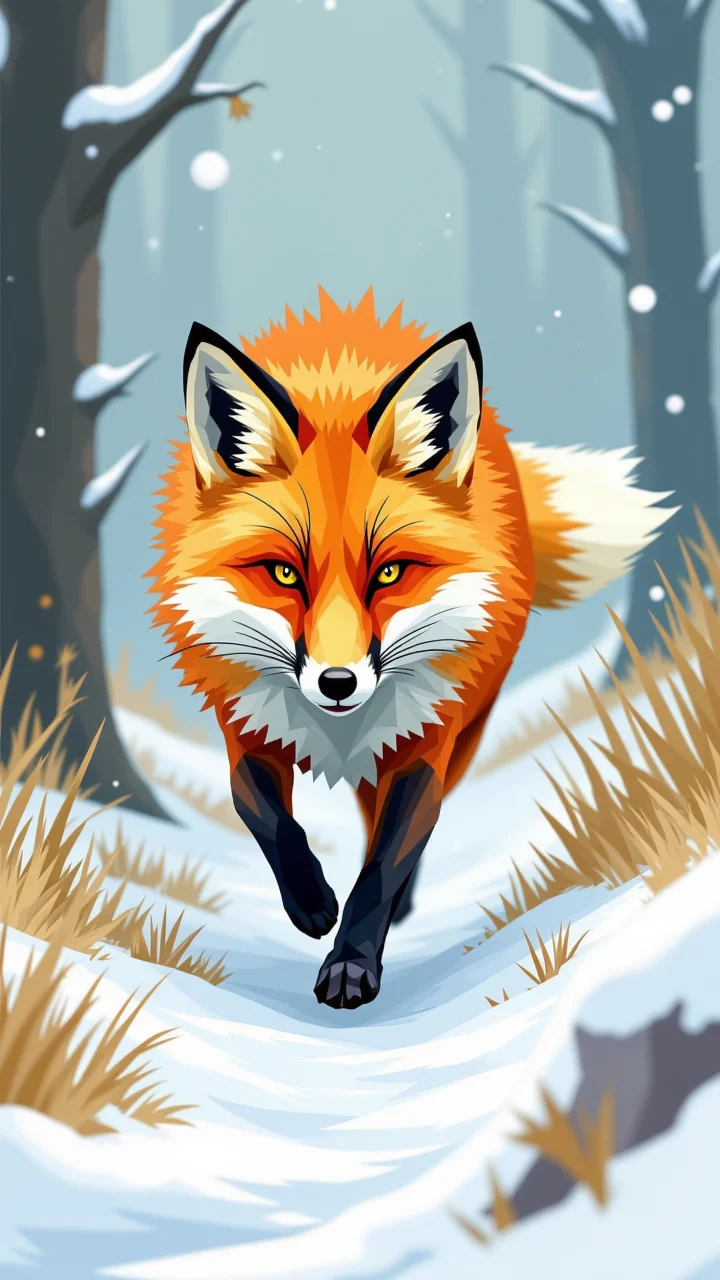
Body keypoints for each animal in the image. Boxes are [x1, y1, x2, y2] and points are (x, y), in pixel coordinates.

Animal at [150, 287, 674, 1010]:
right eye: (283, 574)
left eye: (390, 573)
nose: (338, 683)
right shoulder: (246, 727)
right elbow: (266, 818)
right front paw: (312, 901)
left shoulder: (423, 744)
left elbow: (383, 865)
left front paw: (351, 962)